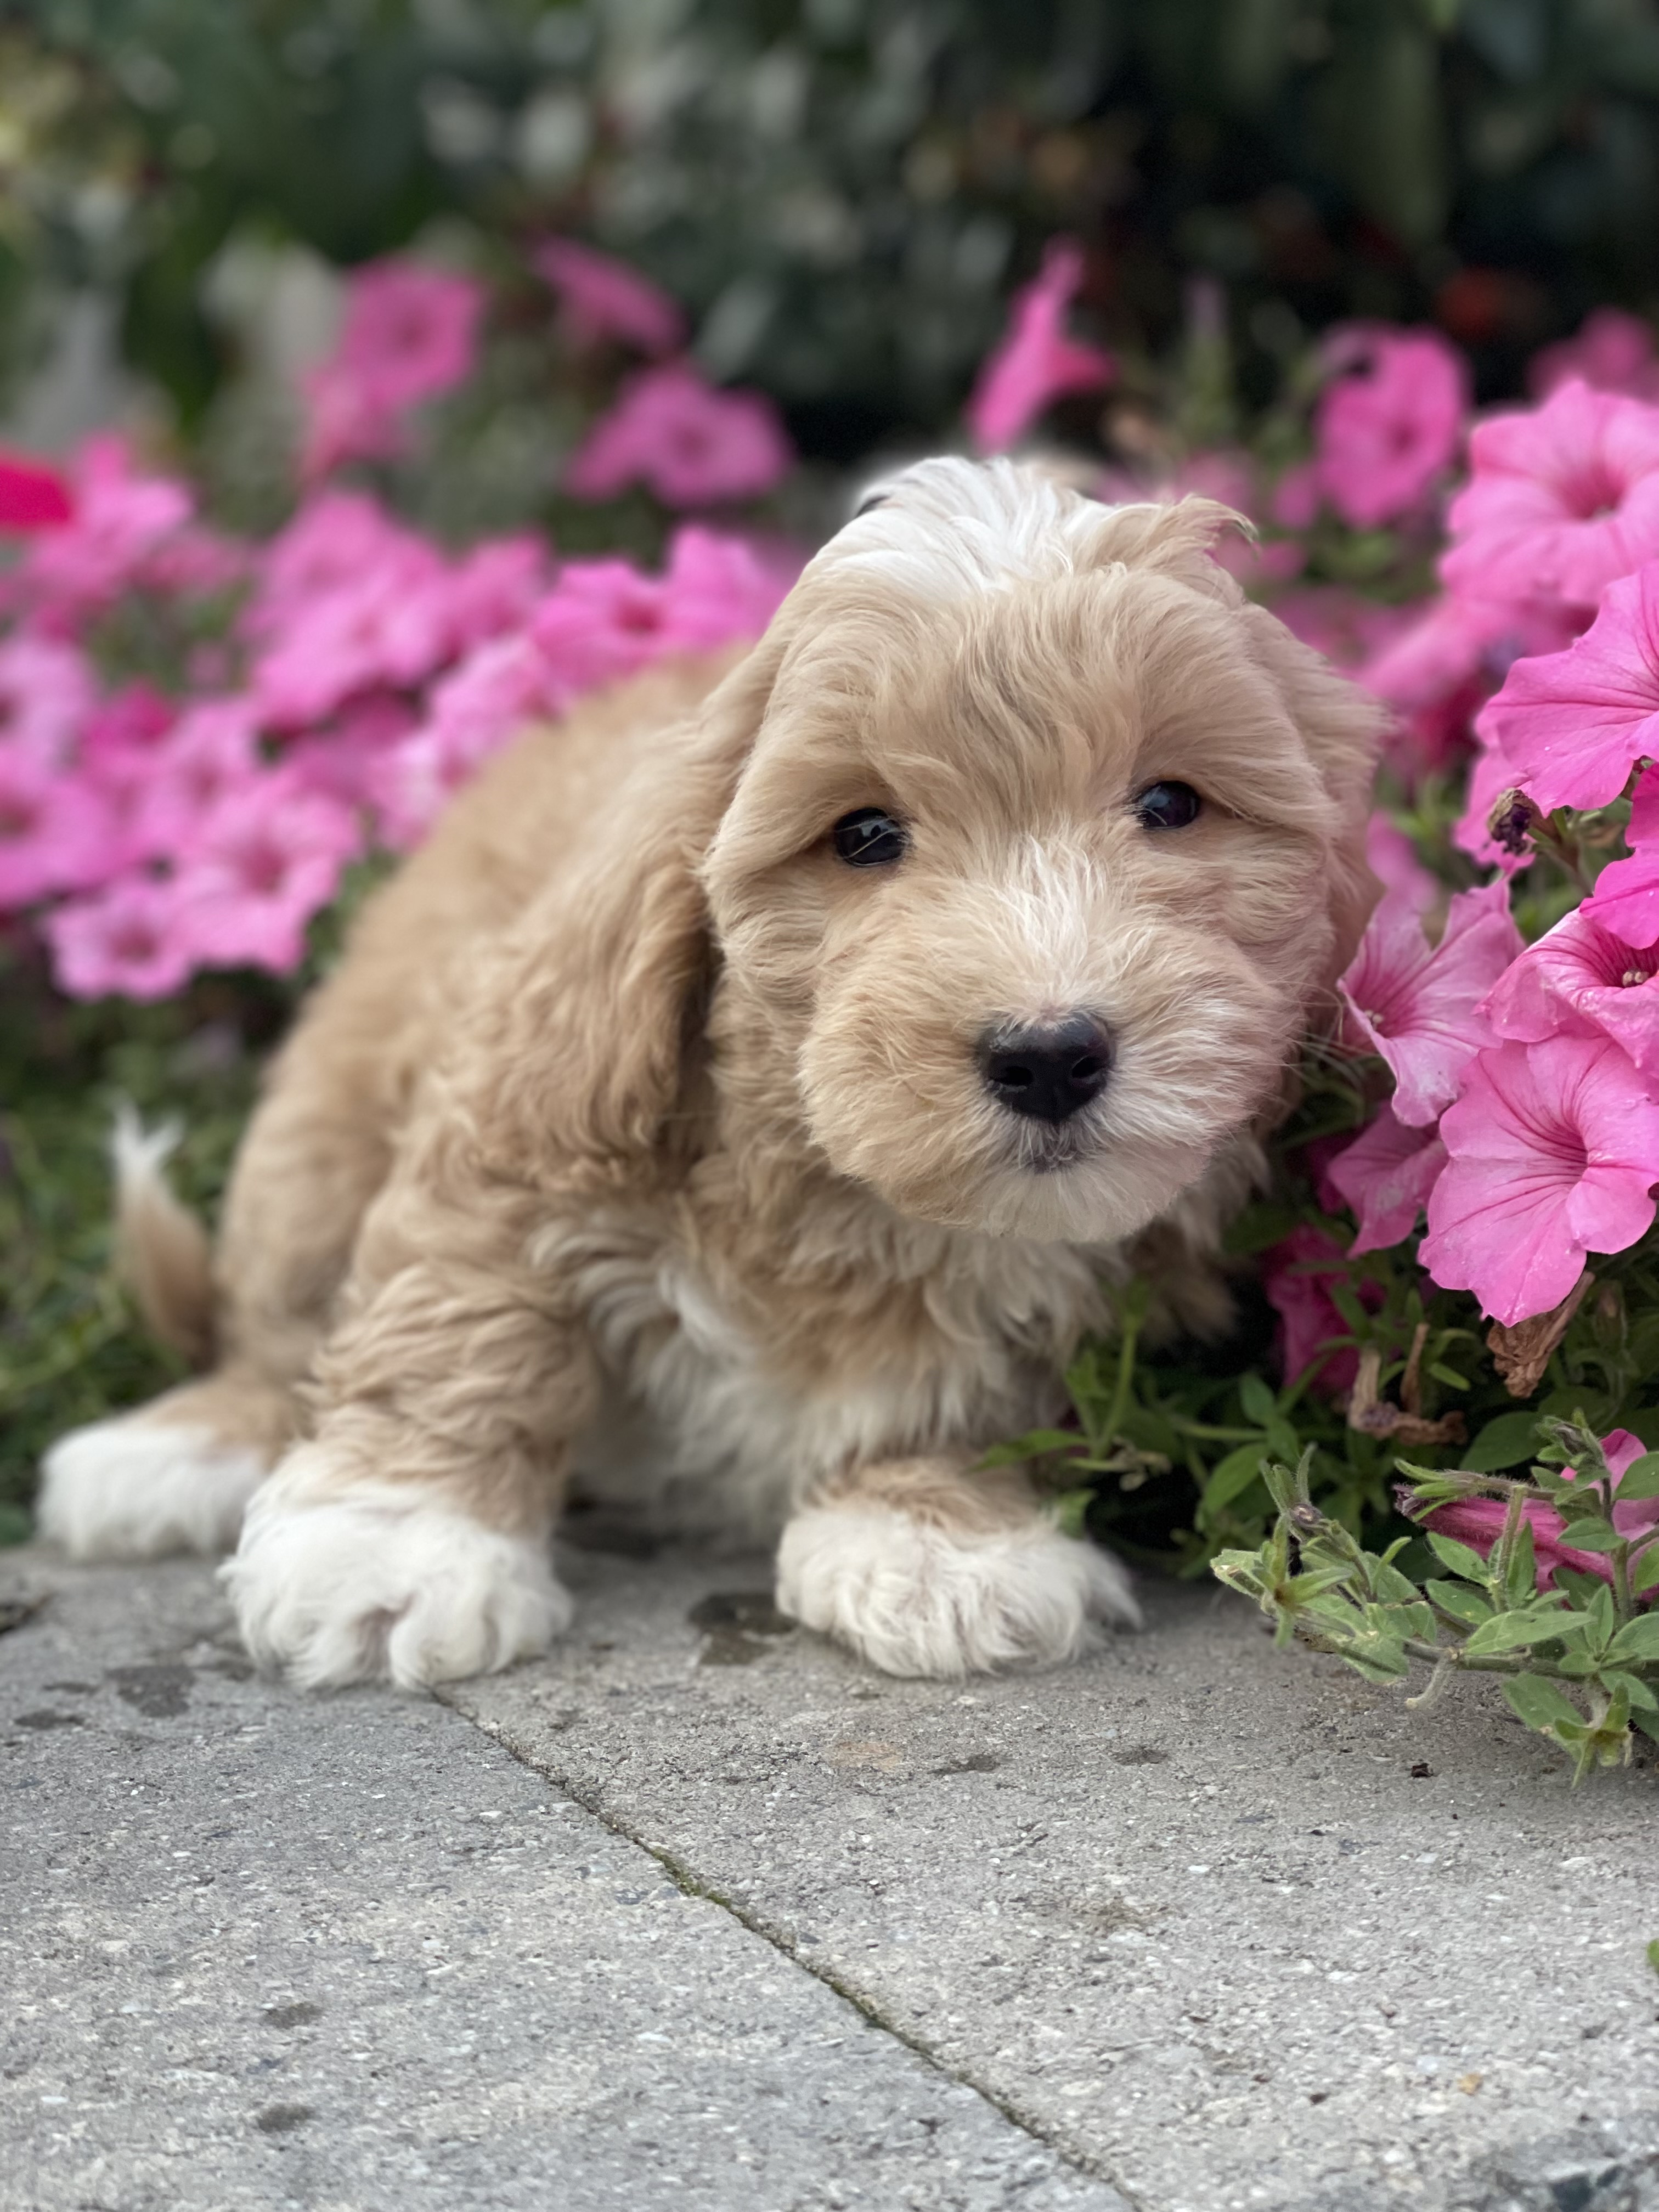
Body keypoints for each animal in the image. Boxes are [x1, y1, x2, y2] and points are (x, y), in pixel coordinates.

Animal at [42, 458, 1389, 1681]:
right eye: (863, 836)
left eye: (1170, 805)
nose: (1049, 1054)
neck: (842, 1195)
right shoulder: (527, 1111)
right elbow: (466, 1314)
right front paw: (391, 1545)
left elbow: (964, 1396)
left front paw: (935, 1537)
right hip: (317, 1133)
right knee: (274, 1329)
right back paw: (174, 1451)